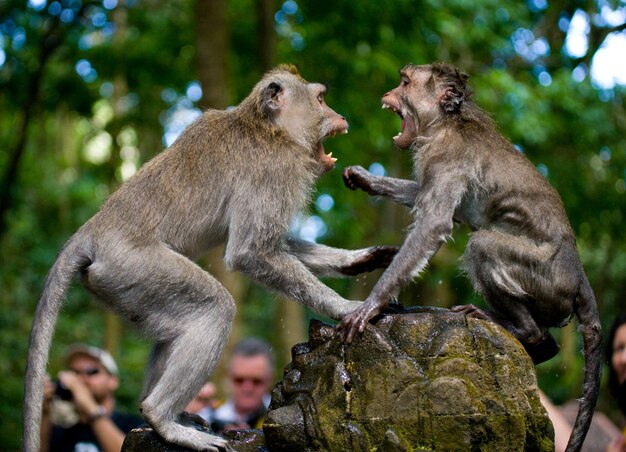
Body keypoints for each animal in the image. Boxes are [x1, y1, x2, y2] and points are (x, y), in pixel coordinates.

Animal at [24, 64, 398, 452]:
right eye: (321, 100)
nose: (340, 116)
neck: (268, 128)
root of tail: (92, 231)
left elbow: (271, 245)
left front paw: (358, 261)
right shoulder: (274, 171)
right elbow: (250, 251)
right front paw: (347, 307)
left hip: (125, 285)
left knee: (174, 328)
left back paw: (161, 415)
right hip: (133, 266)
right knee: (215, 307)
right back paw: (163, 418)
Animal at [338, 62, 604, 452]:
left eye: (404, 83)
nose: (388, 93)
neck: (447, 123)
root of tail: (580, 275)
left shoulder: (447, 156)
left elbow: (434, 222)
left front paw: (371, 306)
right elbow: (434, 203)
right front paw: (365, 178)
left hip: (549, 282)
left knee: (483, 246)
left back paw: (523, 331)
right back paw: (541, 346)